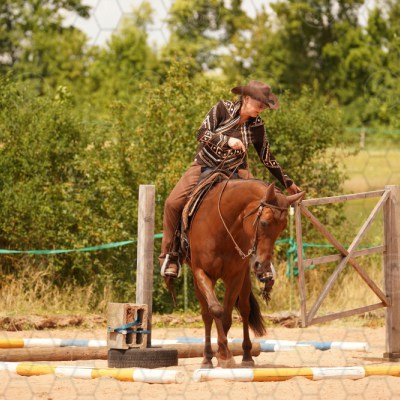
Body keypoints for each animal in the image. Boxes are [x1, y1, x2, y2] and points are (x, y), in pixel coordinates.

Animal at [184, 179, 304, 368]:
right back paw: (207, 357)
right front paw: (221, 354)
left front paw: (224, 354)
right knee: (206, 314)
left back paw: (246, 355)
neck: (220, 228)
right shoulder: (201, 272)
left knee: (245, 309)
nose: (262, 265)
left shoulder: (236, 276)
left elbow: (226, 317)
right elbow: (215, 310)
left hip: (245, 279)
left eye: (283, 227)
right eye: (263, 222)